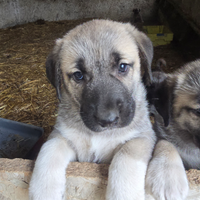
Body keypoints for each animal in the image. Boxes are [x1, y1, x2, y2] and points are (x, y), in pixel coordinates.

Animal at [28, 19, 188, 200]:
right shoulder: (62, 135)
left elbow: (125, 157)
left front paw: (123, 194)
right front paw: (43, 190)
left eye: (123, 66)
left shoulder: (141, 137)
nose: (108, 120)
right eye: (78, 75)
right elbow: (49, 149)